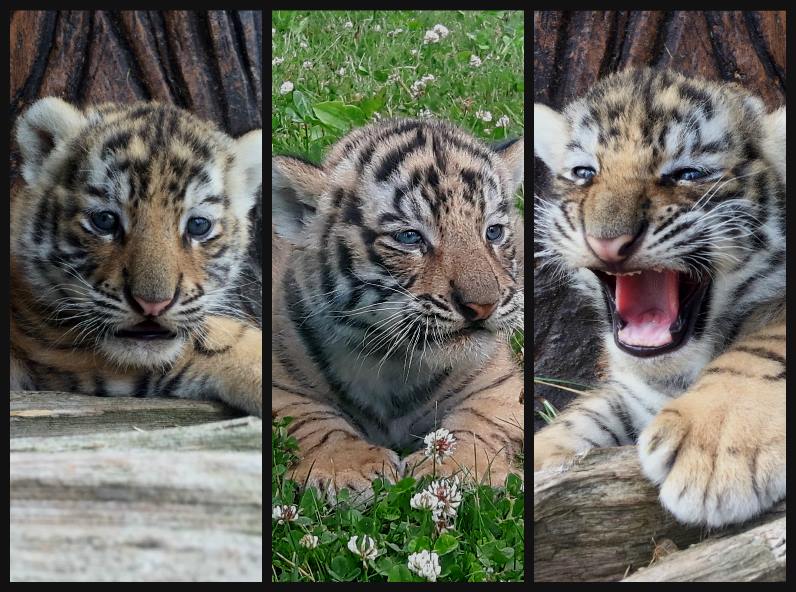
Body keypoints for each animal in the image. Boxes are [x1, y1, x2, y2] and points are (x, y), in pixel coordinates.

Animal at [272, 117, 525, 498]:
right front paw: (346, 469)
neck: (394, 363)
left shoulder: (498, 381)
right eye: (410, 237)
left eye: (493, 232)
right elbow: (311, 419)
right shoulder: (278, 380)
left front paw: (460, 469)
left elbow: (479, 421)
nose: (483, 306)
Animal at [533, 67, 785, 528]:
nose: (606, 241)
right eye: (584, 172)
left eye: (687, 174)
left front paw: (717, 444)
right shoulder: (631, 389)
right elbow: (584, 415)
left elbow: (765, 347)